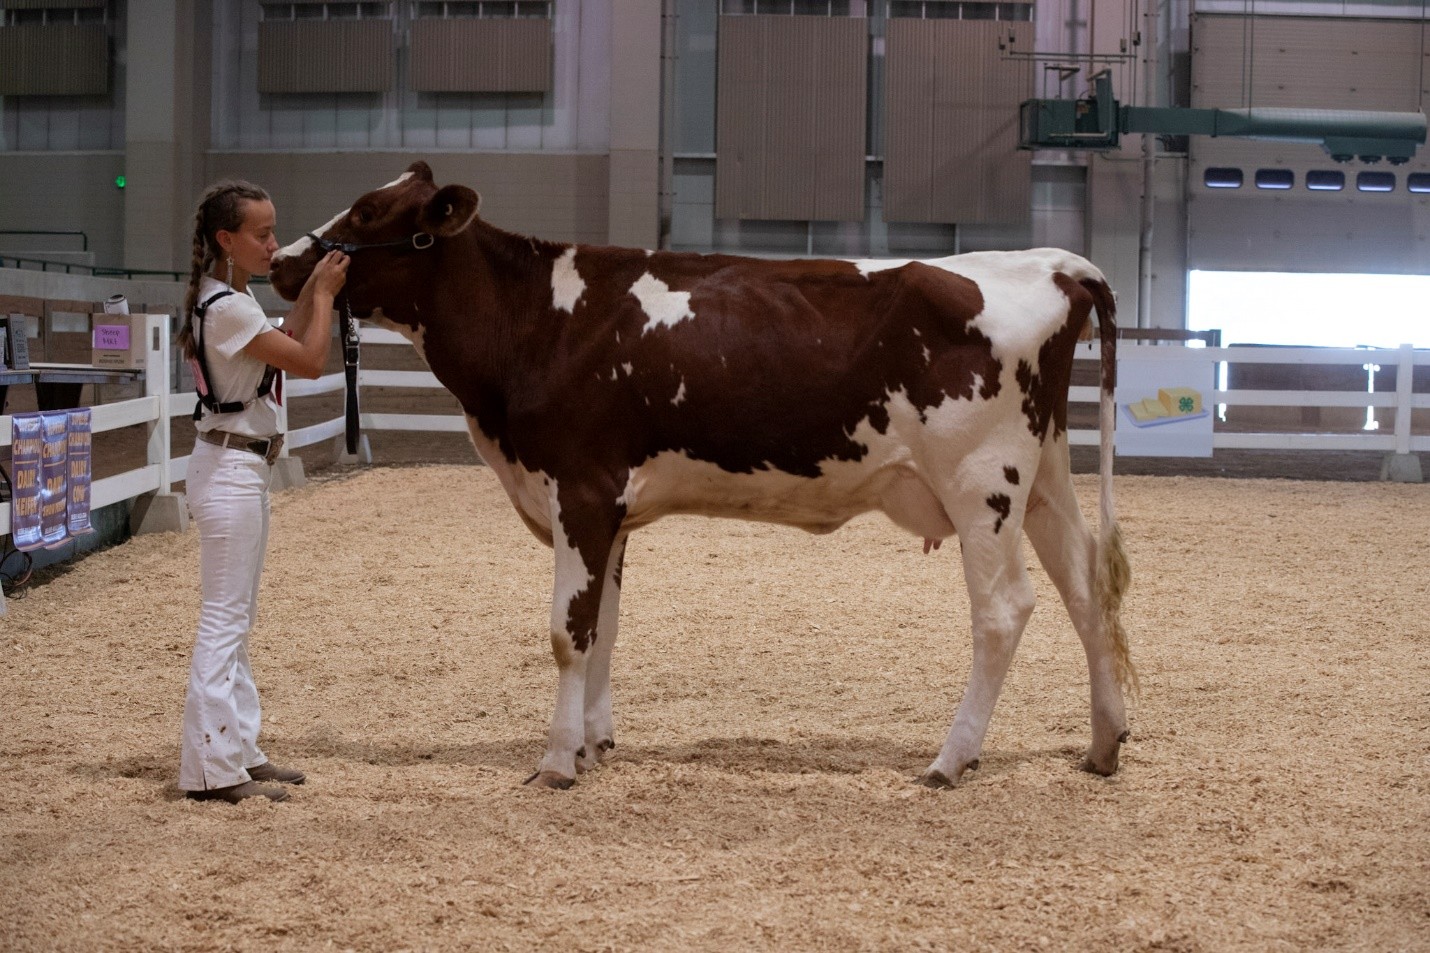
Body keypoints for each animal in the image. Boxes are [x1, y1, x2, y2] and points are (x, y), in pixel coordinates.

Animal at [270, 161, 1134, 790]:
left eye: (369, 215)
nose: (282, 261)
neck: (538, 323)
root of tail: (1054, 263)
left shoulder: (579, 491)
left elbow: (566, 632)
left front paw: (555, 761)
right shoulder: (612, 509)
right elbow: (605, 626)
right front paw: (593, 743)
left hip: (981, 483)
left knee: (1004, 611)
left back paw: (950, 759)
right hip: (1044, 476)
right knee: (1086, 588)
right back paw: (1103, 743)